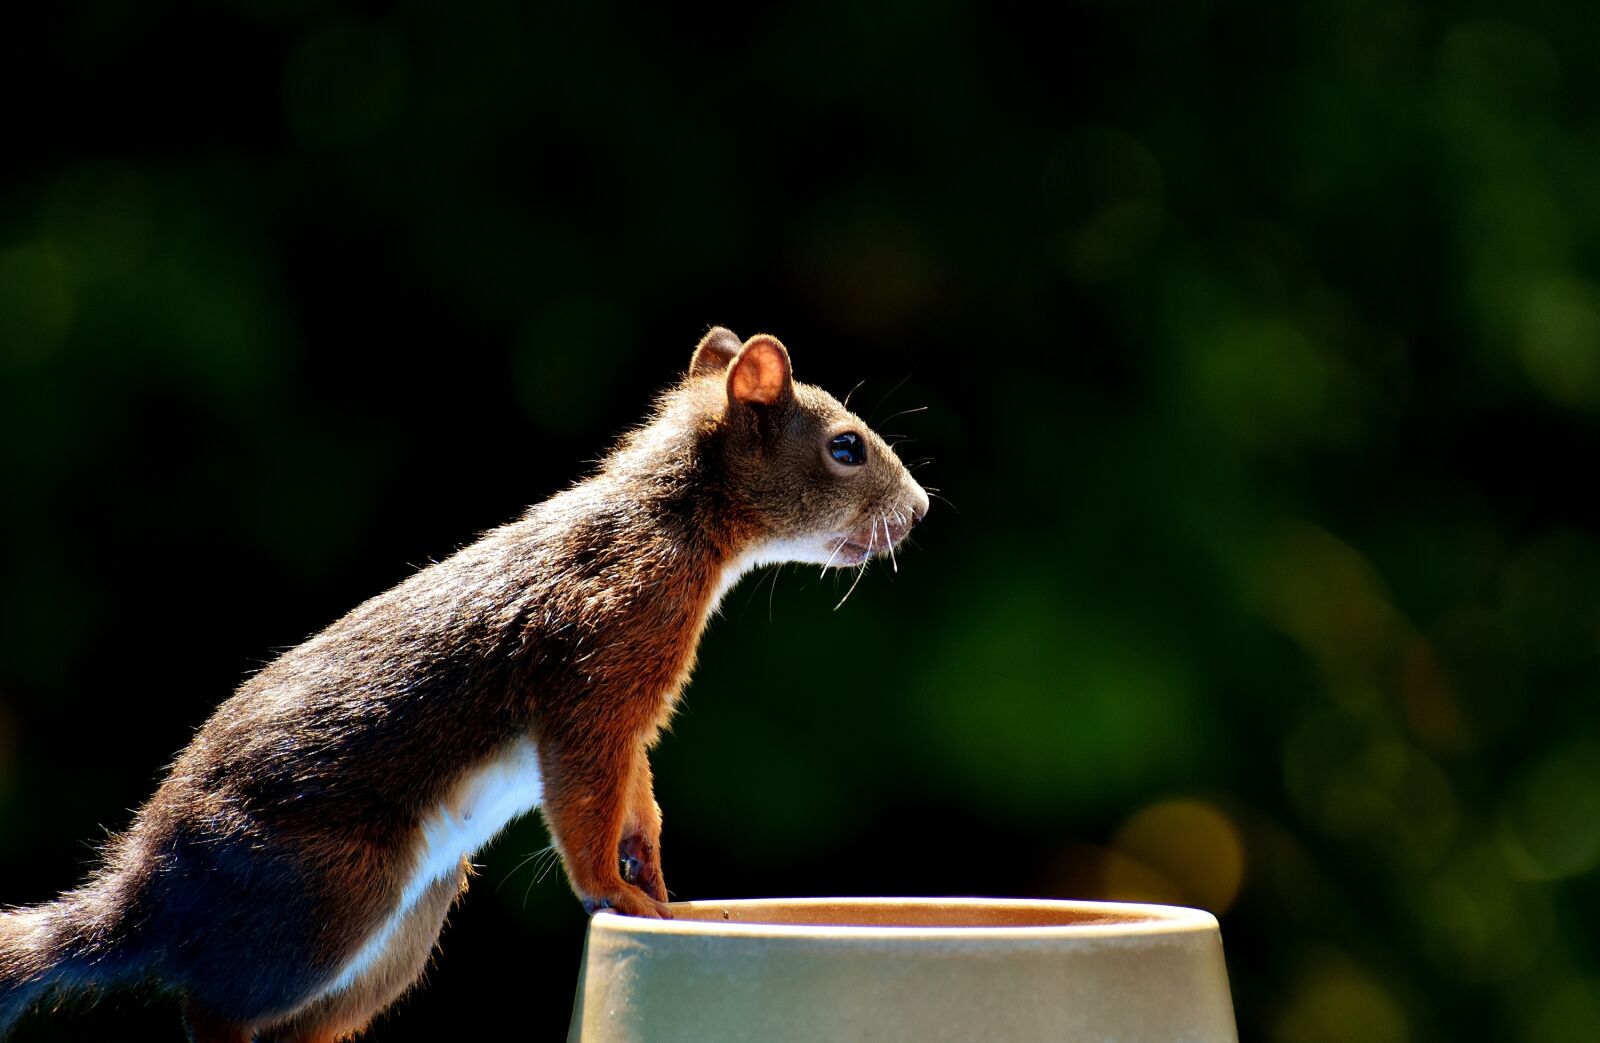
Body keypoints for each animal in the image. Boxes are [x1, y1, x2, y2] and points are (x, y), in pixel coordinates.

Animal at [0, 328, 929, 1042]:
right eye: (846, 447)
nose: (919, 507)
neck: (674, 521)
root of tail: (148, 895)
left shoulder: (630, 722)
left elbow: (637, 797)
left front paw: (659, 879)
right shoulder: (593, 672)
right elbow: (588, 802)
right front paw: (621, 894)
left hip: (401, 930)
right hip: (329, 899)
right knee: (213, 1006)